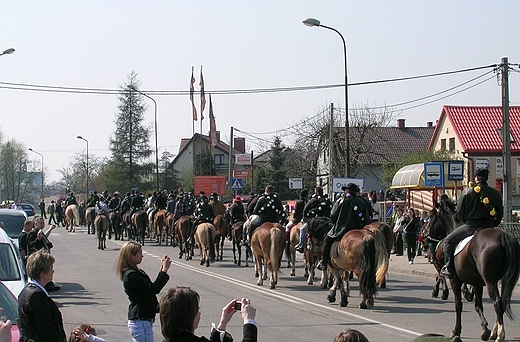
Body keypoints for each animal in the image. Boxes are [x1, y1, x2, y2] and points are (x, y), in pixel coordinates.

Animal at [424, 202, 516, 340]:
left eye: (431, 216)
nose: (426, 237)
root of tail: (502, 237)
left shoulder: (454, 280)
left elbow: (458, 305)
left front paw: (456, 330)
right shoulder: (477, 283)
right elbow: (478, 305)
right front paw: (485, 329)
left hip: (490, 281)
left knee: (497, 302)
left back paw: (500, 334)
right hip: (503, 280)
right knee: (503, 302)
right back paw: (494, 332)